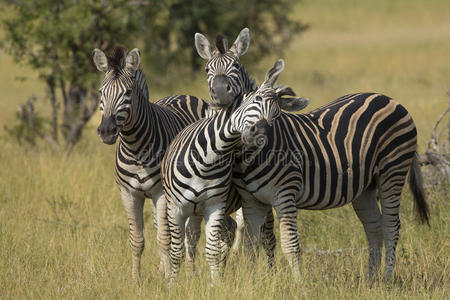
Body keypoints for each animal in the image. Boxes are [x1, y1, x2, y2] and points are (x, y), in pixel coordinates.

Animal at [92, 45, 217, 282]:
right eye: (101, 92)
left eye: (127, 93)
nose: (106, 132)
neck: (135, 148)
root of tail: (184, 94)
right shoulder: (128, 193)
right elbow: (137, 239)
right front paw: (136, 279)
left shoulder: (160, 192)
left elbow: (164, 239)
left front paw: (169, 277)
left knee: (190, 234)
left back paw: (191, 272)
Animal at [160, 59, 308, 282]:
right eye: (256, 99)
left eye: (277, 116)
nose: (260, 134)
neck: (208, 159)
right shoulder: (176, 208)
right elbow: (177, 251)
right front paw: (173, 285)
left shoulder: (214, 204)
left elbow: (212, 250)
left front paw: (215, 285)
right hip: (193, 210)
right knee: (193, 240)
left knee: (267, 239)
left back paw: (271, 274)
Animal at [230, 59, 430, 282]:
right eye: (255, 99)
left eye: (277, 116)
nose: (260, 135)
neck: (249, 160)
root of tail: (391, 100)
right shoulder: (251, 201)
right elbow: (250, 246)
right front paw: (249, 281)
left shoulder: (285, 194)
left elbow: (290, 245)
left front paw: (298, 284)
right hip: (365, 187)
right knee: (374, 228)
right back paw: (371, 280)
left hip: (393, 171)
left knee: (391, 227)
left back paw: (386, 279)